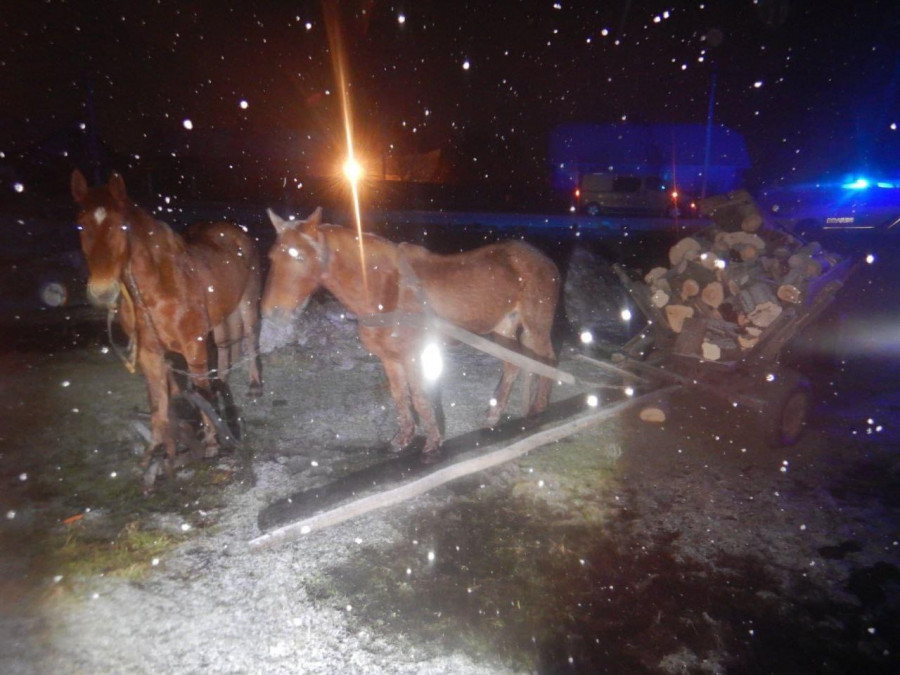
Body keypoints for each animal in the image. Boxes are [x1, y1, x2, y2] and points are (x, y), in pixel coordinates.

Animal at [70, 170, 263, 480]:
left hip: (247, 302)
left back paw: (255, 384)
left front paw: (211, 444)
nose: (102, 292)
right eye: (81, 225)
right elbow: (159, 402)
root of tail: (235, 230)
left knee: (249, 336)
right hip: (222, 312)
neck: (156, 290)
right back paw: (222, 382)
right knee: (224, 346)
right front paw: (159, 452)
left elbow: (199, 391)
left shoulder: (193, 345)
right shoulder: (149, 353)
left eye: (122, 226)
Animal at [262, 207, 560, 460]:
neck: (387, 291)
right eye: (272, 257)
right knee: (513, 365)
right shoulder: (390, 358)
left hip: (536, 328)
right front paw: (403, 439)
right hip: (503, 329)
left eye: (300, 257)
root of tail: (545, 261)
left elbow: (419, 396)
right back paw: (493, 416)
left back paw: (538, 409)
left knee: (546, 361)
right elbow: (399, 396)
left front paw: (433, 443)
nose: (271, 312)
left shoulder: (414, 355)